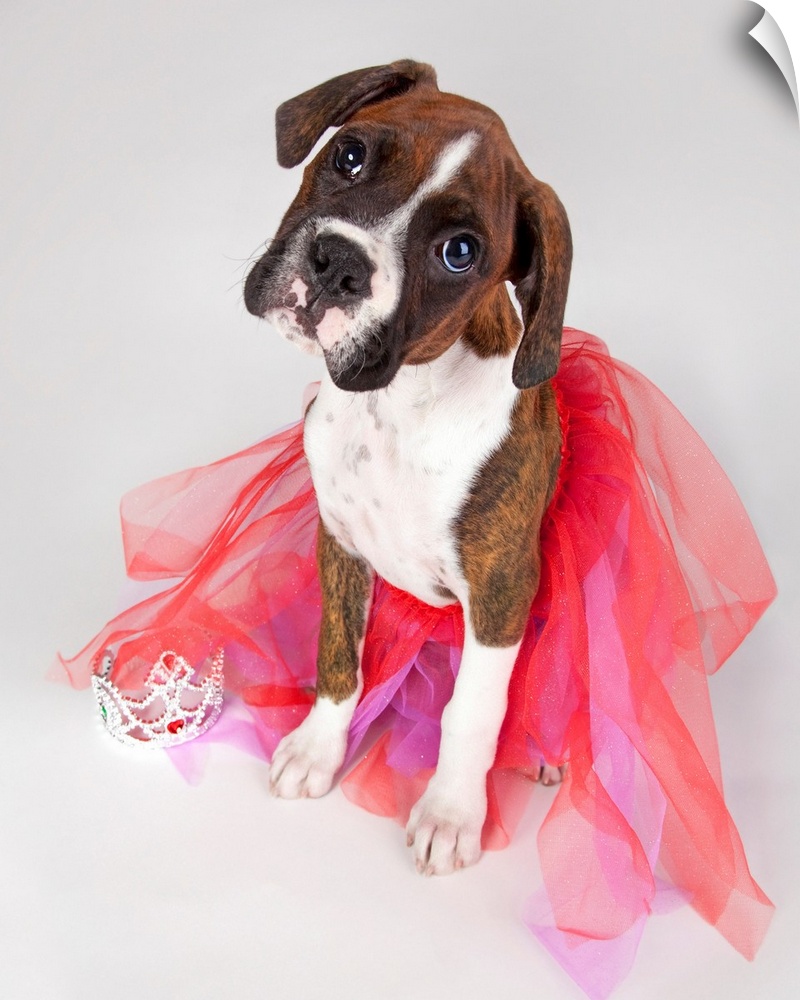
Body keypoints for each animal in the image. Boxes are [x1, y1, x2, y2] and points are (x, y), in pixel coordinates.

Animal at [243, 60, 571, 876]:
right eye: (349, 155)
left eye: (460, 253)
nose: (340, 263)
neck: (395, 407)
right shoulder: (340, 543)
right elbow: (338, 654)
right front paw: (317, 749)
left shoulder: (501, 588)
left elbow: (472, 709)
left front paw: (451, 813)